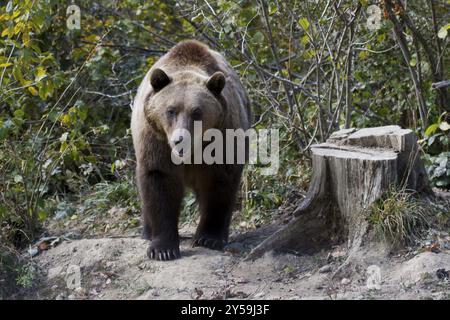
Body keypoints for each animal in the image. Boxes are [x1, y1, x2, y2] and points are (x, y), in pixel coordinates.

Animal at [131, 40, 253, 260]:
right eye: (170, 110)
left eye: (197, 112)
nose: (180, 140)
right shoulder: (156, 141)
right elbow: (159, 183)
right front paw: (163, 248)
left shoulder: (223, 137)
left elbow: (219, 185)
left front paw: (209, 238)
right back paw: (147, 231)